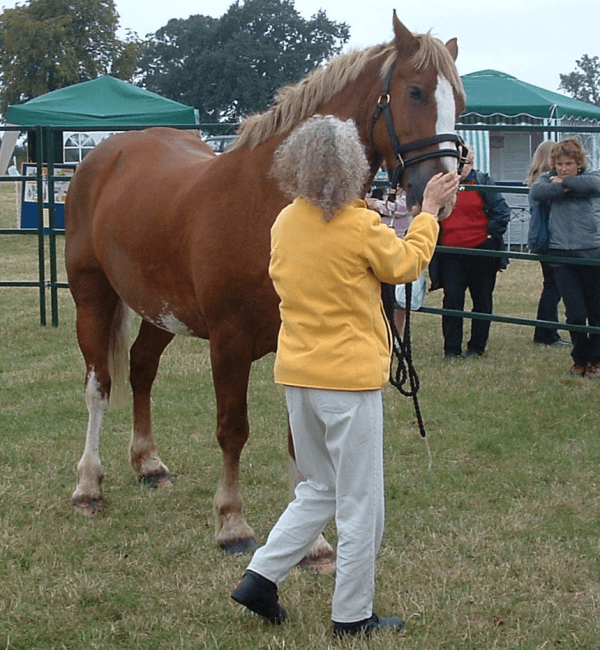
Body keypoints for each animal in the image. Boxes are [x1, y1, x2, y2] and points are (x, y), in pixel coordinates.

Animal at [64, 11, 466, 569]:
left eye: (461, 102)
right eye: (415, 91)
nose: (441, 192)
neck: (272, 201)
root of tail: (104, 155)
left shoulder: (298, 346)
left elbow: (301, 441)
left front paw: (313, 544)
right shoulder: (228, 343)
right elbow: (233, 429)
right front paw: (232, 524)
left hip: (161, 309)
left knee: (142, 368)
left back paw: (148, 464)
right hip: (93, 296)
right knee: (98, 385)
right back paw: (88, 486)